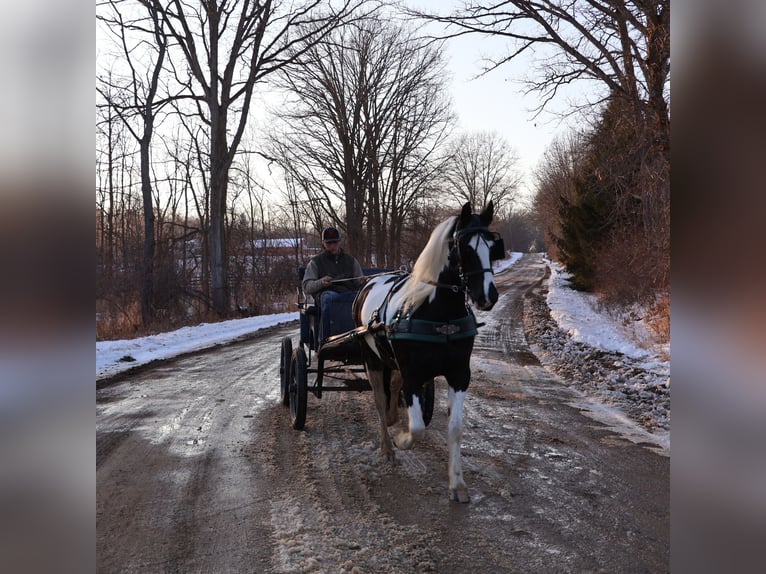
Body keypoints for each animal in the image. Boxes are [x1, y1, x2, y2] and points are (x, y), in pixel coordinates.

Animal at [352, 202, 502, 502]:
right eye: (464, 248)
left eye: (492, 247)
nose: (488, 296)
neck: (438, 314)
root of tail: (369, 282)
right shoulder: (413, 376)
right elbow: (418, 427)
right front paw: (401, 439)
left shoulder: (459, 375)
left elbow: (455, 428)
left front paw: (457, 483)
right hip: (371, 357)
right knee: (379, 398)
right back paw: (387, 446)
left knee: (391, 388)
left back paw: (393, 418)